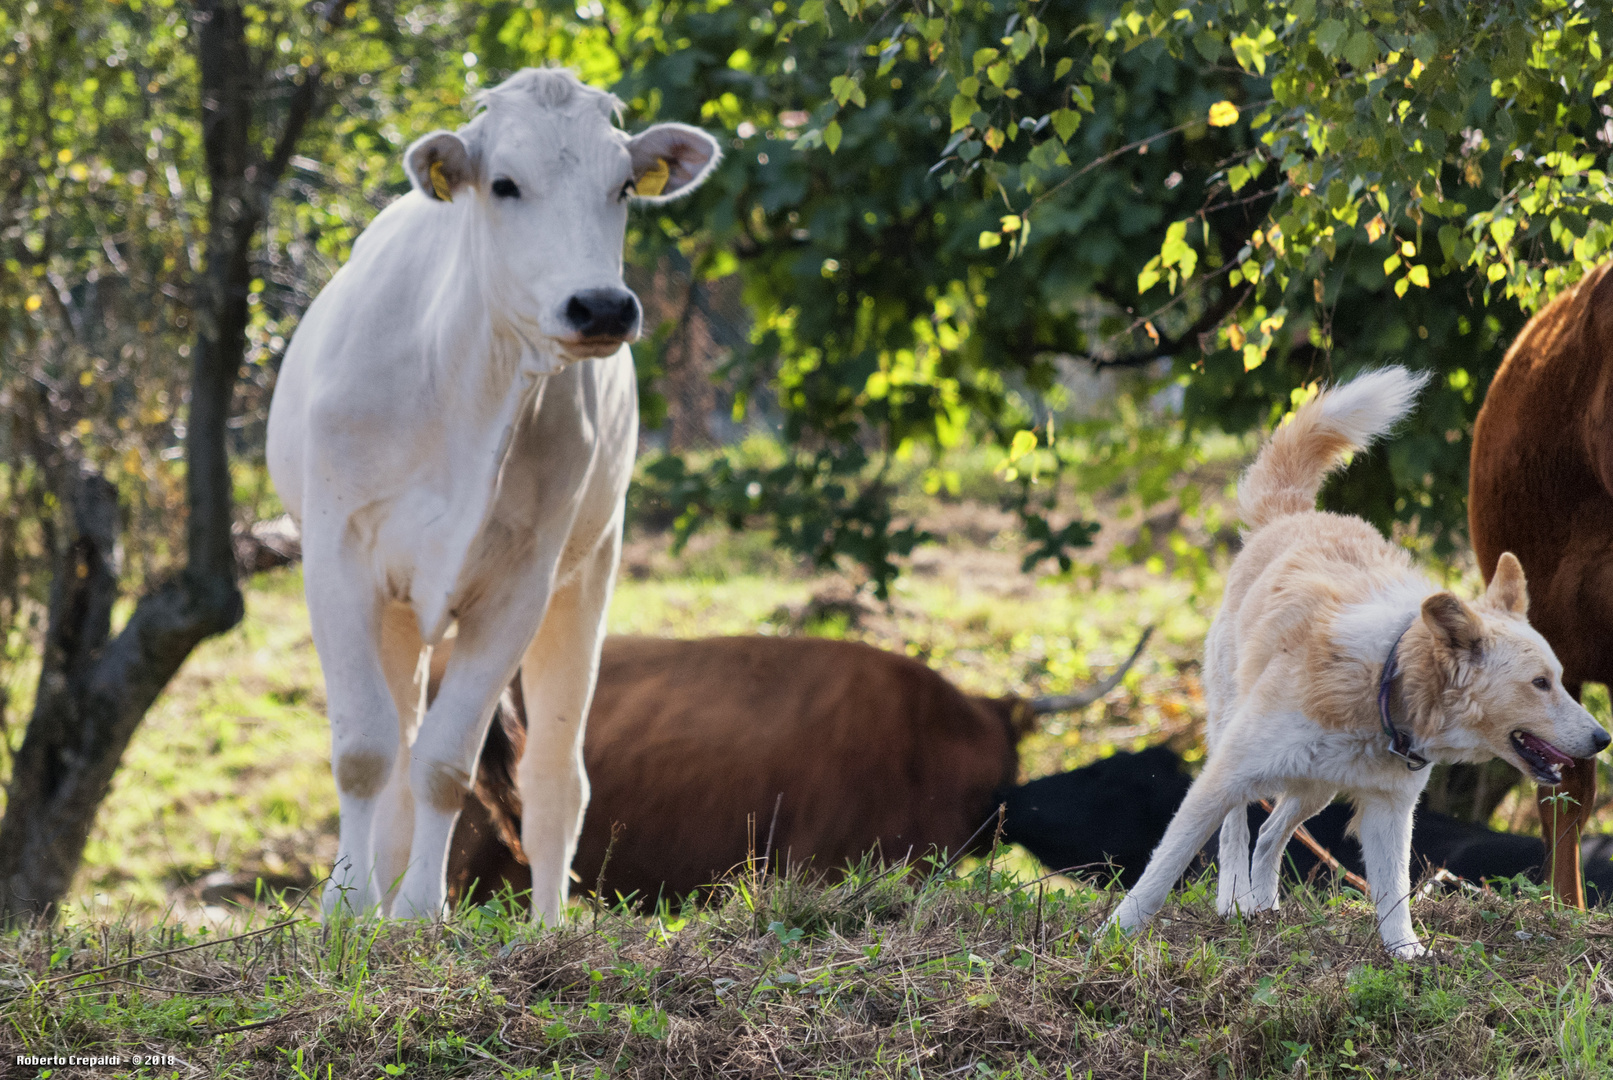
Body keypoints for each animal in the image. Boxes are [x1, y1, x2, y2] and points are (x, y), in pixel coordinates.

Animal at [1109, 367, 1613, 960]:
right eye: (1540, 683)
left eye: (1558, 680)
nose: (1603, 739)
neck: (1385, 681)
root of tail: (1293, 514)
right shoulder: (1223, 777)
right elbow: (1160, 872)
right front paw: (1111, 936)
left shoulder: (1388, 811)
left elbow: (1393, 892)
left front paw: (1407, 955)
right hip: (1233, 739)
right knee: (1237, 832)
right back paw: (1234, 900)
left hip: (1315, 788)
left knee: (1272, 834)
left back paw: (1263, 906)